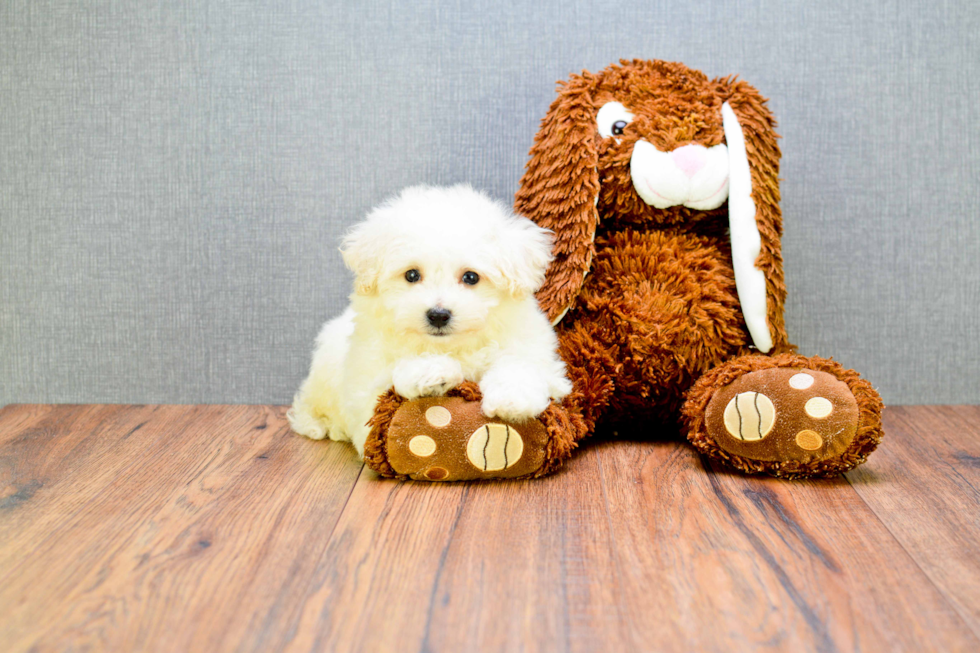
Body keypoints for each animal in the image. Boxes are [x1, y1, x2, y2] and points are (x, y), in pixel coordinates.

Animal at [288, 183, 572, 456]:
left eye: (471, 277)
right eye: (412, 275)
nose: (438, 315)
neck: (452, 347)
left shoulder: (534, 350)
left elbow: (522, 363)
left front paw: (513, 398)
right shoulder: (364, 389)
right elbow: (387, 383)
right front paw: (432, 371)